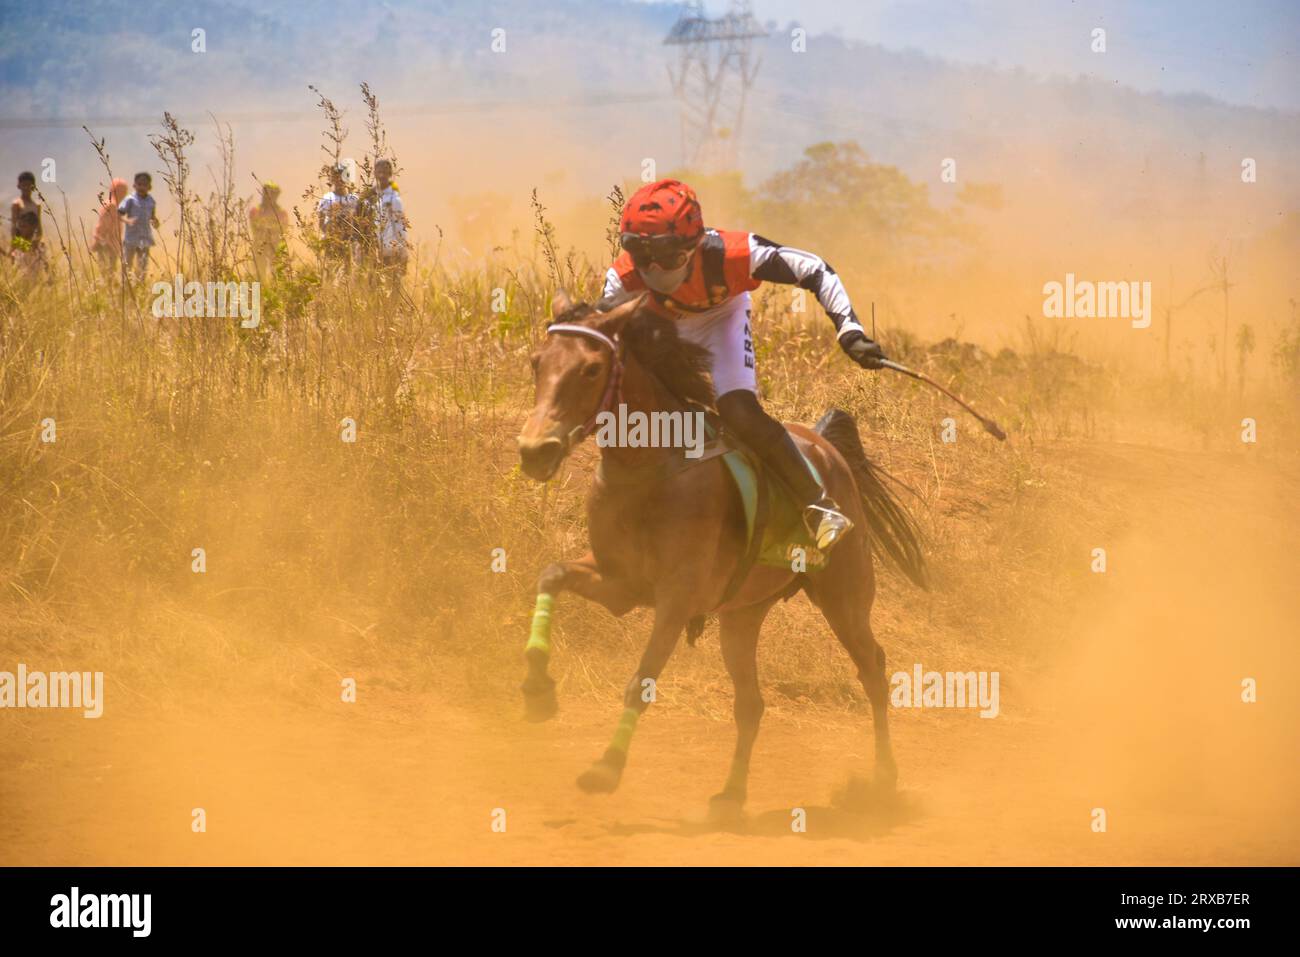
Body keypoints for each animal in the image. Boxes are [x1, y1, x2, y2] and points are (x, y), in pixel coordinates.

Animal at [512, 287, 930, 816]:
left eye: (590, 369)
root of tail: (824, 446)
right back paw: (731, 795)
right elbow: (550, 575)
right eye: (536, 362)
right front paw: (537, 691)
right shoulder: (619, 583)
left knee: (872, 668)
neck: (648, 467)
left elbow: (640, 682)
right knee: (750, 702)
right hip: (742, 615)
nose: (535, 451)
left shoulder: (675, 598)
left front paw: (605, 769)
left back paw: (882, 780)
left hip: (843, 597)